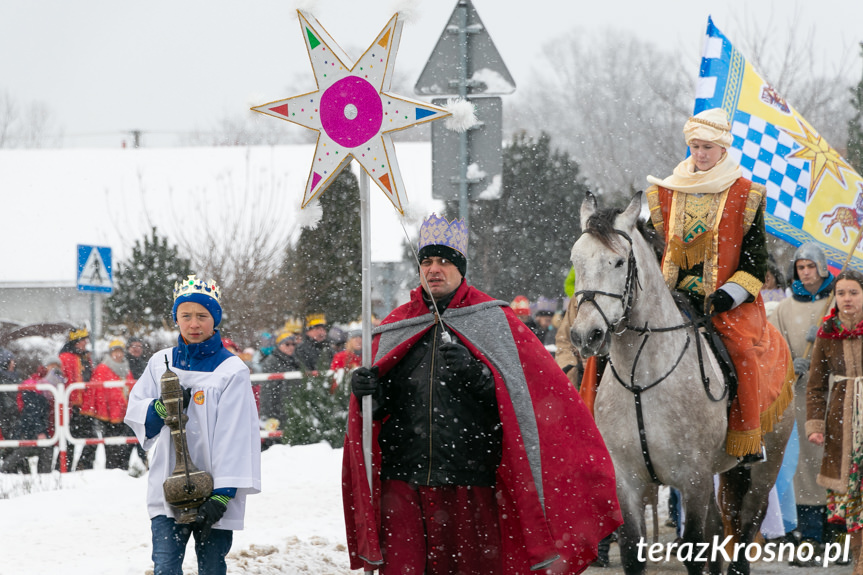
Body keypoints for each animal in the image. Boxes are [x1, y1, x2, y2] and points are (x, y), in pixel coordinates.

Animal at [572, 195, 792, 575]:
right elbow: (632, 551)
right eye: (576, 260)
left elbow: (693, 547)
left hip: (766, 463)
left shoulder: (693, 477)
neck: (641, 380)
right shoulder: (627, 480)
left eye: (618, 261)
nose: (586, 335)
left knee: (747, 521)